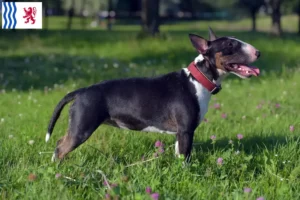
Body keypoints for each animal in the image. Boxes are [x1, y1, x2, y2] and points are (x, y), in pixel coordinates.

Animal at [45, 27, 260, 162]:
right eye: (231, 45)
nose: (258, 52)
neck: (197, 79)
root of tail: (81, 91)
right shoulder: (186, 131)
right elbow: (186, 157)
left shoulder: (179, 133)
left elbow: (178, 154)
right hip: (82, 127)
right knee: (60, 147)